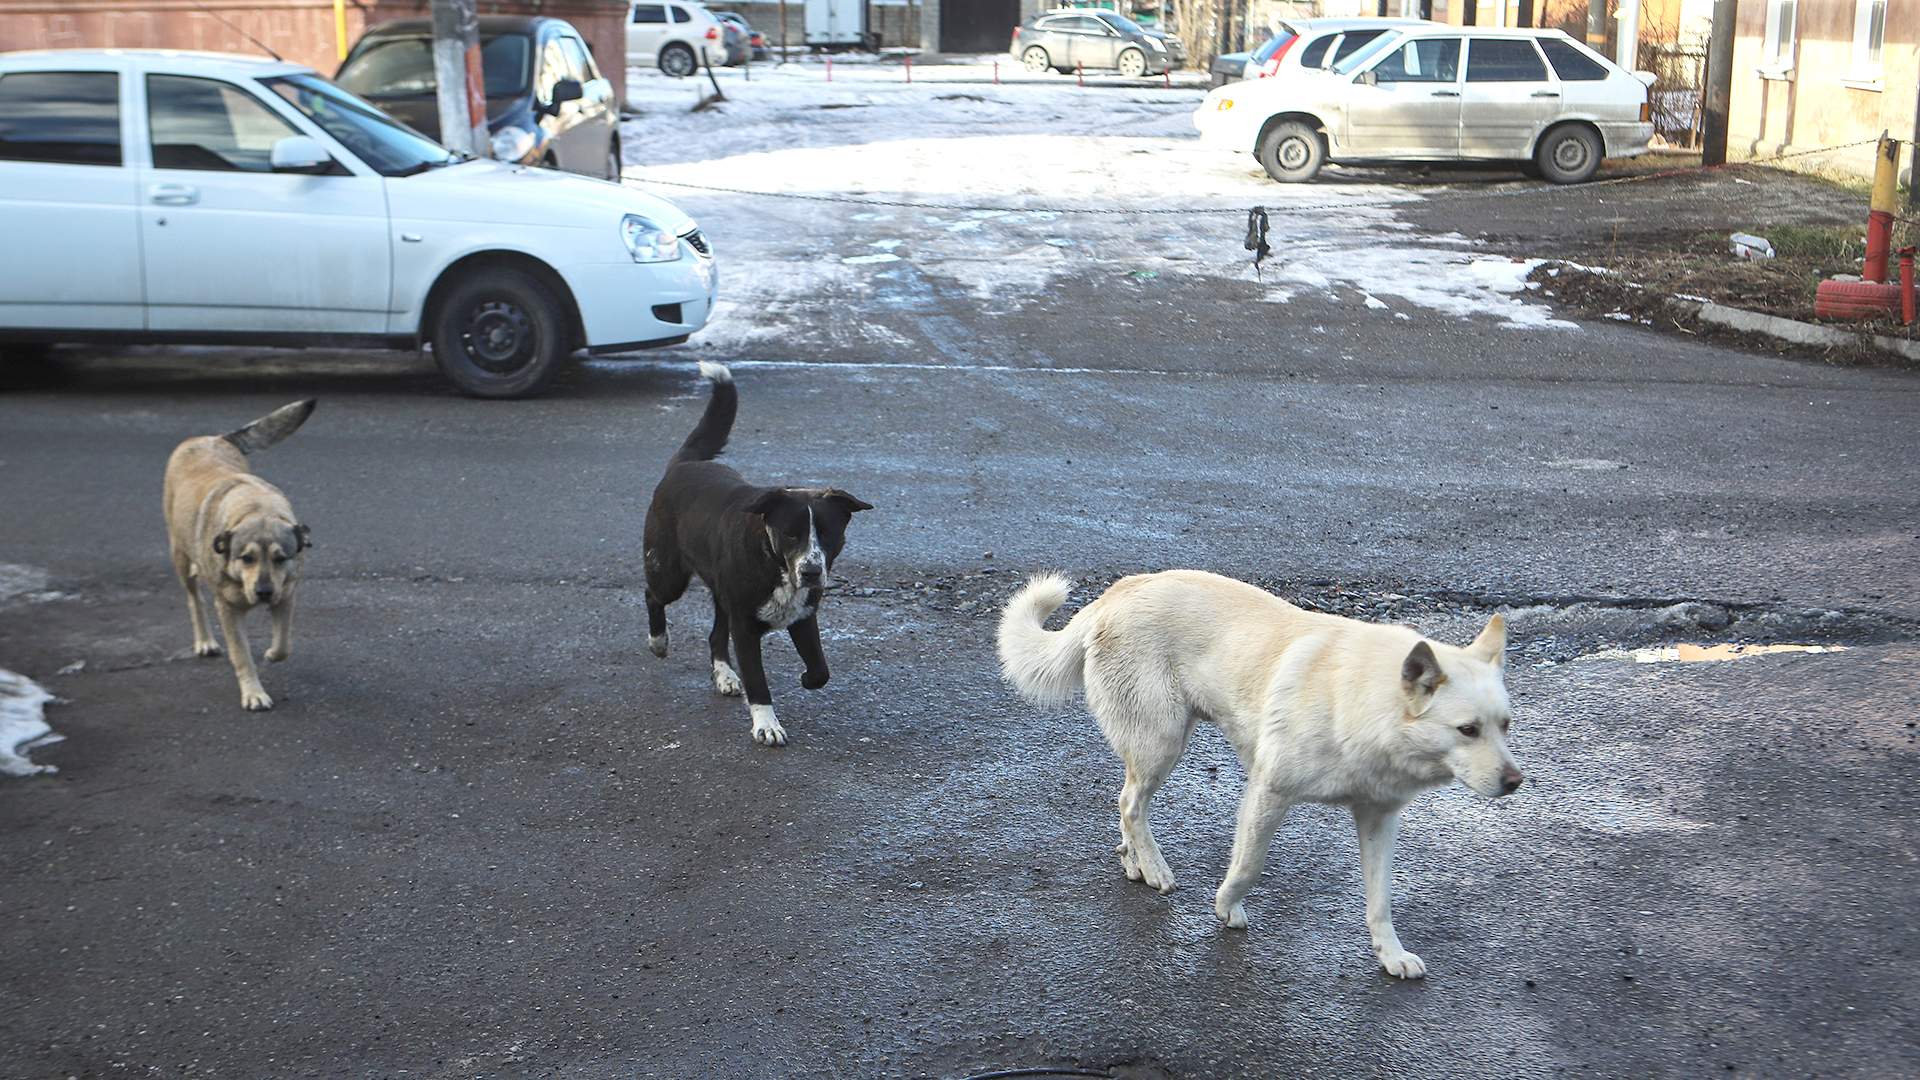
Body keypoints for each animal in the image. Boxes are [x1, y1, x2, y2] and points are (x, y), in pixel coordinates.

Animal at [163, 399, 316, 711]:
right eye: (246, 558)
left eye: (281, 558)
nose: (264, 592)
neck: (255, 508)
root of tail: (211, 437)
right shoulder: (228, 610)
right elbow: (242, 655)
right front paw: (254, 693)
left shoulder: (287, 595)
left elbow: (284, 643)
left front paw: (272, 653)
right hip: (179, 554)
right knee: (194, 599)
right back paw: (205, 641)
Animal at [652, 359, 879, 737]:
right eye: (790, 534)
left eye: (828, 532)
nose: (811, 571)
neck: (774, 564)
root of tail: (684, 464)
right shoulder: (745, 627)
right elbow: (758, 680)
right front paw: (766, 725)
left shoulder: (803, 616)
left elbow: (821, 670)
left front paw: (807, 679)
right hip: (668, 572)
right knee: (653, 595)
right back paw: (658, 640)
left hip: (721, 595)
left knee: (715, 636)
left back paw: (724, 675)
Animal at [998, 568, 1520, 980]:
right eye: (1467, 730)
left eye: (1505, 725)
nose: (1516, 782)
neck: (1363, 703)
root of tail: (1116, 592)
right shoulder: (1268, 792)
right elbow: (1248, 865)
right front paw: (1227, 906)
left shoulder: (1379, 818)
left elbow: (1380, 899)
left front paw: (1390, 954)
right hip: (1162, 743)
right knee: (1130, 804)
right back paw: (1156, 868)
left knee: (1128, 806)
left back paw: (1136, 863)